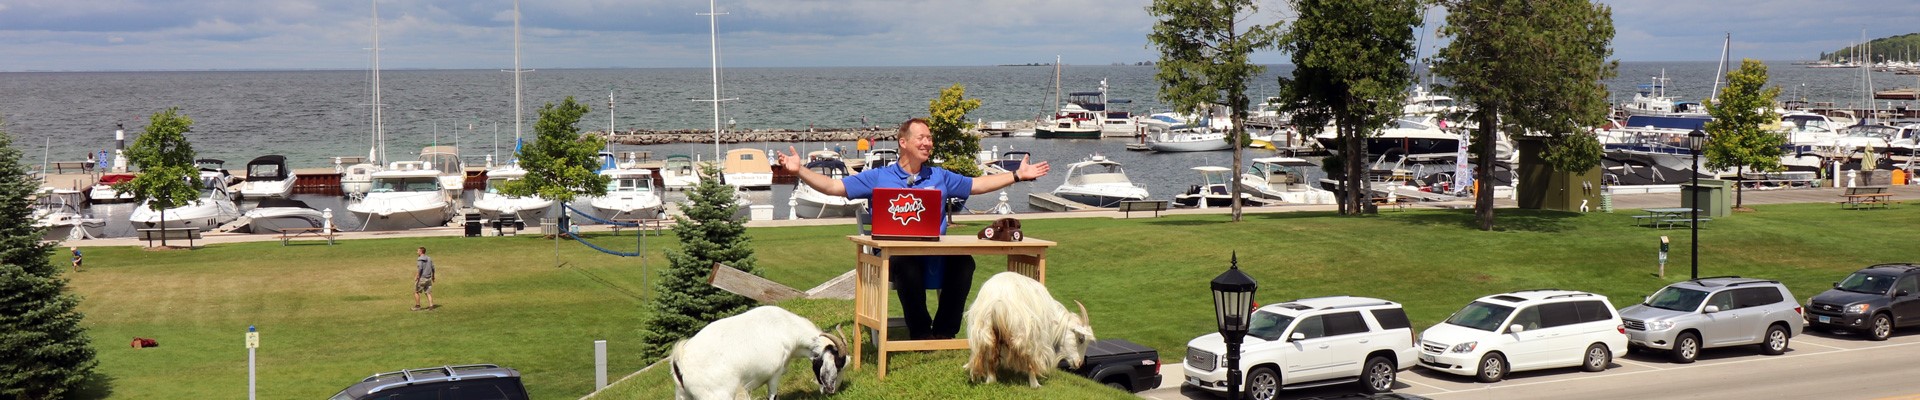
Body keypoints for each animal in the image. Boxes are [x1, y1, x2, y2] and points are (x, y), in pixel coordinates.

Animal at [672, 303, 844, 398]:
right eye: (838, 365)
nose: (833, 391)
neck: (785, 328)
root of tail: (679, 361)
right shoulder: (774, 374)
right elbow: (773, 396)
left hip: (683, 395)